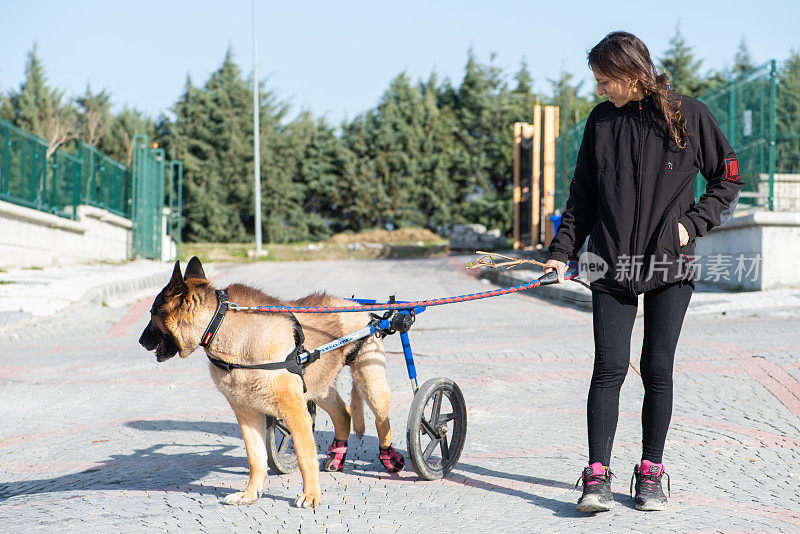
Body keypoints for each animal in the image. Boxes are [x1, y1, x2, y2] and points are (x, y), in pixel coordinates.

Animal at [138, 258, 404, 508]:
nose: (140, 341)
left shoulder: (295, 411)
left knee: (382, 422)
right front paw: (250, 494)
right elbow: (256, 459)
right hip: (319, 388)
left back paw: (390, 458)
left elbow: (305, 457)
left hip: (371, 384)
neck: (220, 325)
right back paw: (337, 455)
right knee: (344, 414)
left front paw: (311, 495)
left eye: (151, 313)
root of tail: (358, 306)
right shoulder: (247, 415)